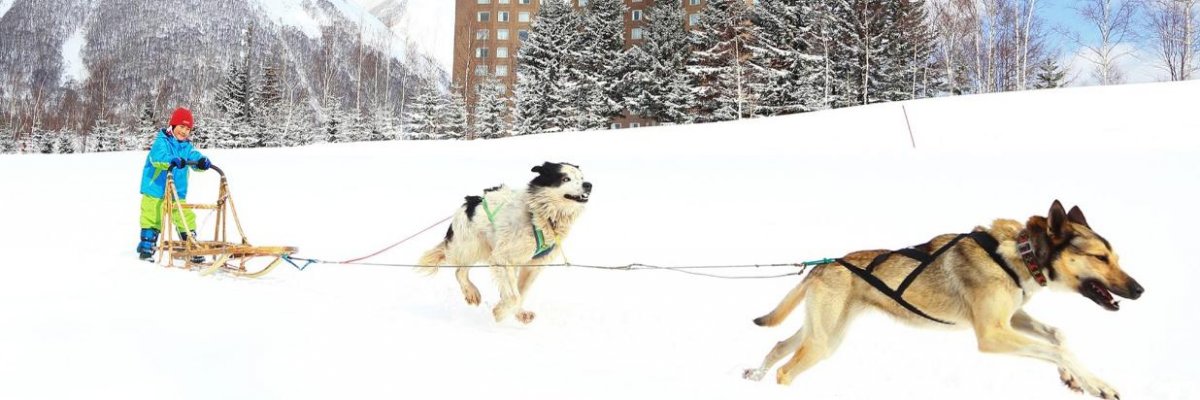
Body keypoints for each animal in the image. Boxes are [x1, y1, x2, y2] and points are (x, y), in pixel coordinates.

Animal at [420, 162, 592, 324]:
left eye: (582, 177)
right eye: (565, 178)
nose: (588, 185)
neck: (539, 216)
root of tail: (469, 202)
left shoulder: (533, 265)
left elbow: (520, 293)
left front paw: (518, 312)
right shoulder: (502, 258)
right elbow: (515, 296)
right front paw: (500, 313)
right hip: (472, 247)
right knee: (459, 271)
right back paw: (471, 292)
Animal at [744, 200, 1147, 396]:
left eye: (1116, 257)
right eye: (1100, 257)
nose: (1140, 290)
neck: (1019, 255)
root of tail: (824, 265)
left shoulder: (1011, 318)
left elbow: (1057, 338)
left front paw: (1074, 377)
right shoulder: (991, 334)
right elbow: (1055, 349)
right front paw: (1099, 384)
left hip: (820, 331)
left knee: (779, 347)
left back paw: (754, 374)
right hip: (825, 341)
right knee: (785, 370)